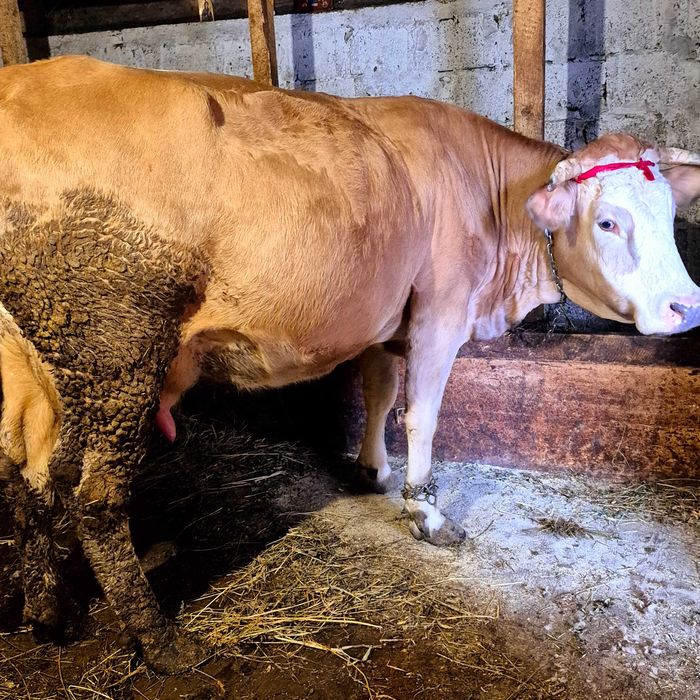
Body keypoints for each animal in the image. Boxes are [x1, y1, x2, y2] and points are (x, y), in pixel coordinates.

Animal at [0, 55, 698, 671]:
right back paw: (162, 642)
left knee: (30, 478)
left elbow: (380, 394)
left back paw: (46, 614)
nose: (684, 306)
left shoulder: (384, 319)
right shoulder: (441, 312)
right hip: (117, 351)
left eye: (670, 218)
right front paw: (427, 512)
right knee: (94, 499)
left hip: (38, 370)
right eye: (607, 222)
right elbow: (421, 416)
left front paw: (371, 470)